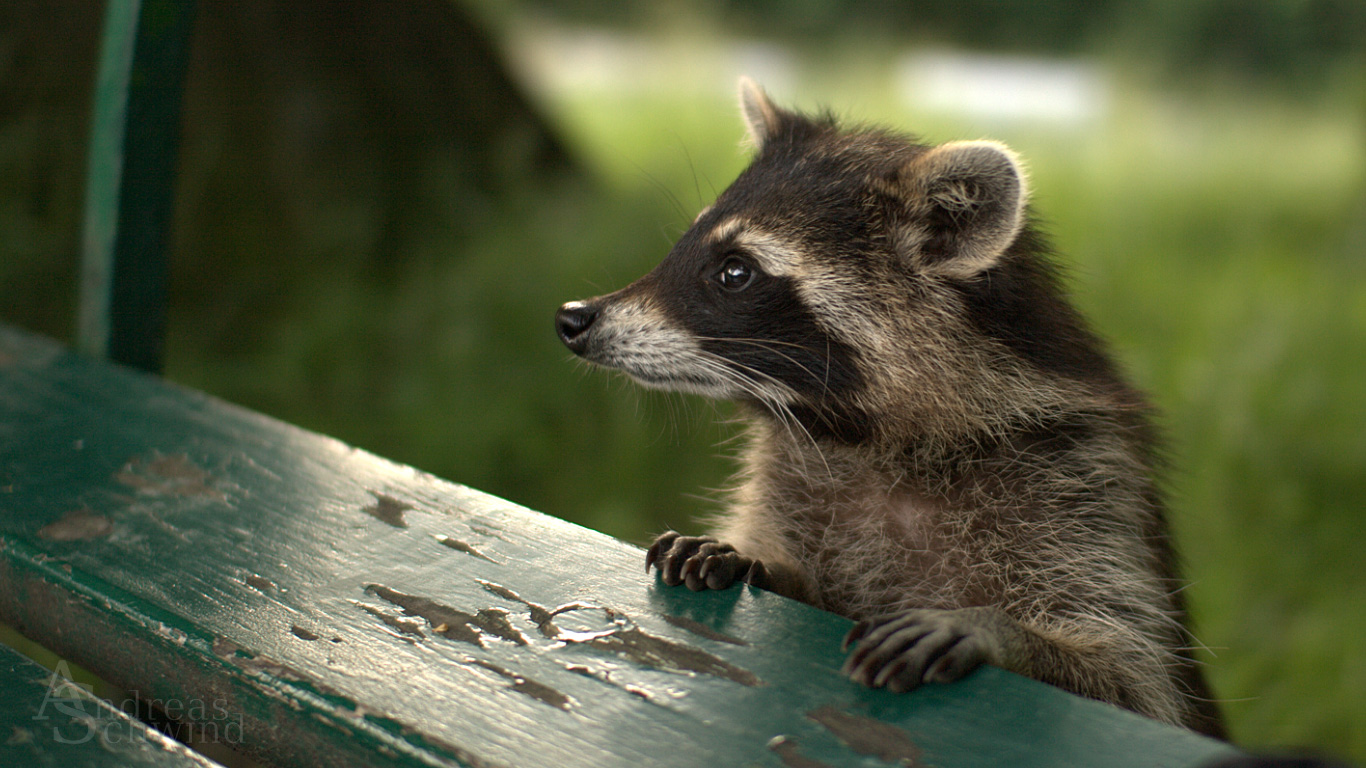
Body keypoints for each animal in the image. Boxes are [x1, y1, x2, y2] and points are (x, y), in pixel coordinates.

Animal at [554, 77, 1229, 737]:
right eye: (687, 245)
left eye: (735, 272)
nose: (573, 318)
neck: (868, 435)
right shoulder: (795, 477)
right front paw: (760, 562)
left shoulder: (1085, 488)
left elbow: (1130, 681)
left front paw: (1003, 634)